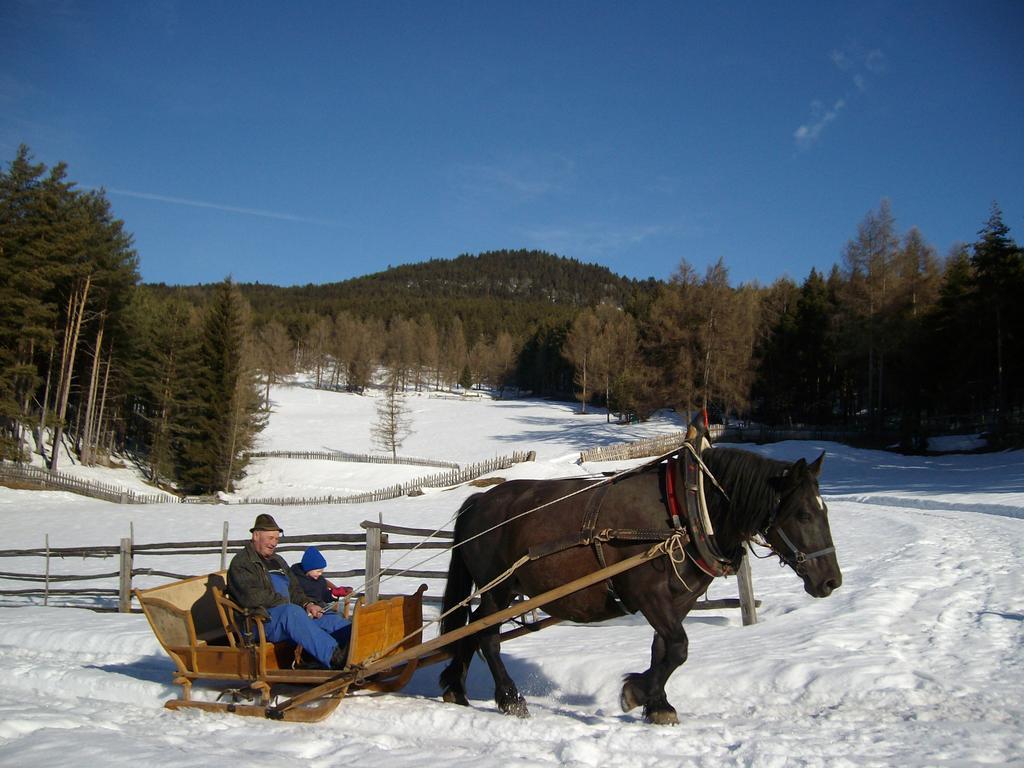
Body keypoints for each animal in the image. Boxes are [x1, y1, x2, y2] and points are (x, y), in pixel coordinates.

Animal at [436, 448, 843, 724]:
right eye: (803, 514)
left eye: (825, 510)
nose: (831, 580)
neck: (687, 511)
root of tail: (478, 501)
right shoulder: (647, 593)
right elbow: (679, 647)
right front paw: (635, 693)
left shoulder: (678, 600)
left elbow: (663, 649)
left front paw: (658, 704)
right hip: (498, 587)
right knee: (485, 634)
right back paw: (509, 697)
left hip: (502, 590)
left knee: (470, 629)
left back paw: (455, 687)